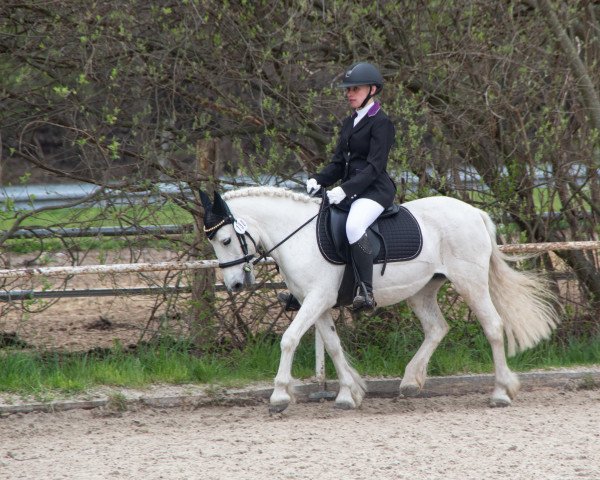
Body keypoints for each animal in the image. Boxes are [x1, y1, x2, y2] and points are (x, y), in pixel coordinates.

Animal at [199, 186, 560, 410]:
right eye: (215, 242)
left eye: (226, 239)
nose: (234, 285)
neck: (298, 237)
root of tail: (473, 211)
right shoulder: (317, 303)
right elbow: (333, 346)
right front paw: (348, 394)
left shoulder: (317, 299)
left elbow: (288, 339)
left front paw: (279, 397)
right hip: (422, 290)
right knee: (437, 328)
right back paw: (411, 382)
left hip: (469, 282)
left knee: (493, 326)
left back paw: (501, 392)